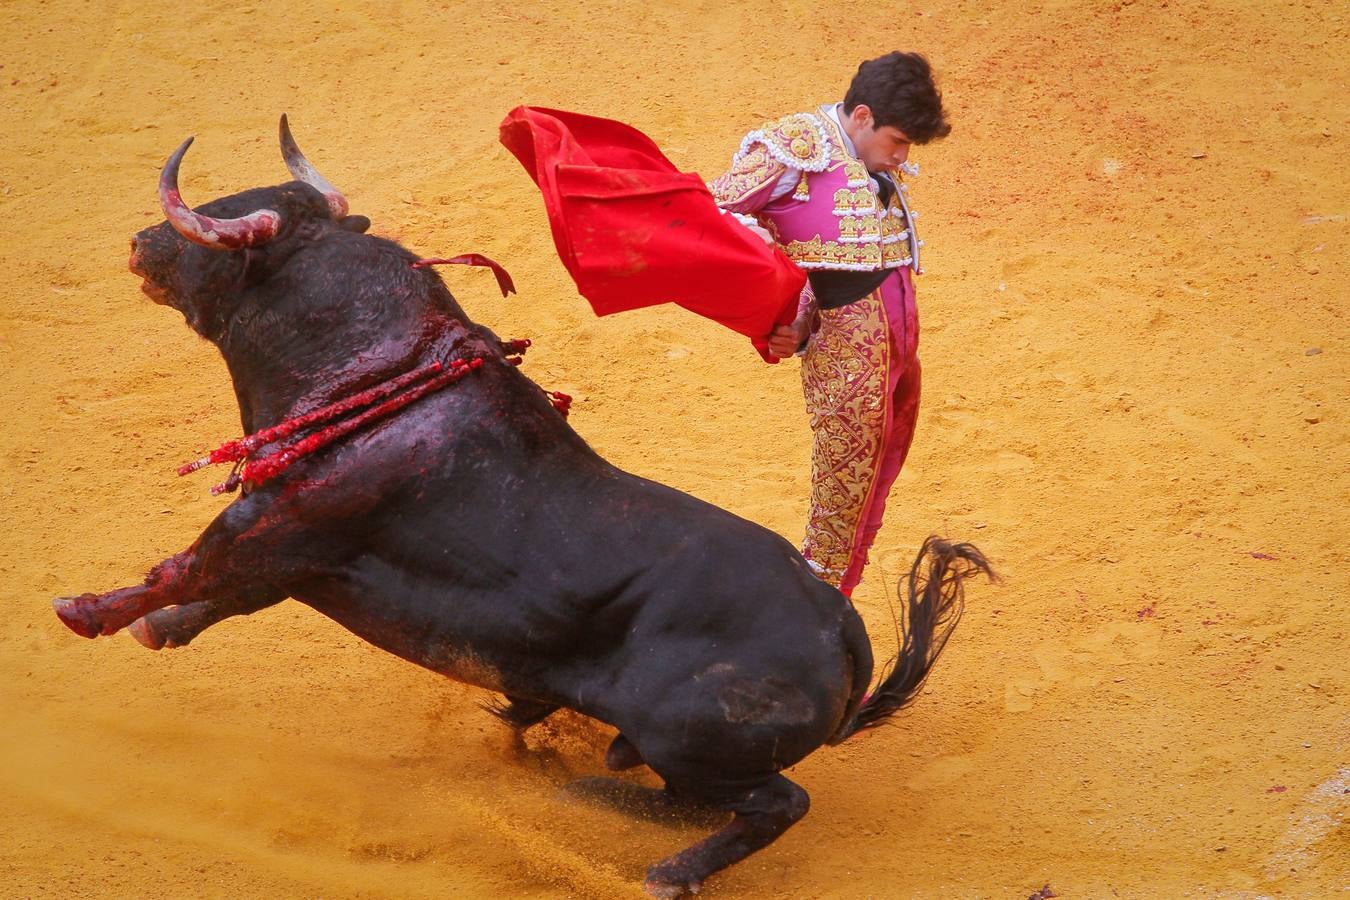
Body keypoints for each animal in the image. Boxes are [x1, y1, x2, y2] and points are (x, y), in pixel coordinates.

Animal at [49, 121, 993, 900]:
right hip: (677, 746)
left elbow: (187, 561)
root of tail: (845, 630)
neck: (387, 367)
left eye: (214, 222)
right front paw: (155, 627)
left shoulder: (281, 523)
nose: (140, 240)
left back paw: (655, 860)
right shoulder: (293, 548)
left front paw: (83, 611)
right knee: (696, 795)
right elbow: (220, 593)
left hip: (687, 736)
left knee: (772, 804)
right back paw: (575, 774)